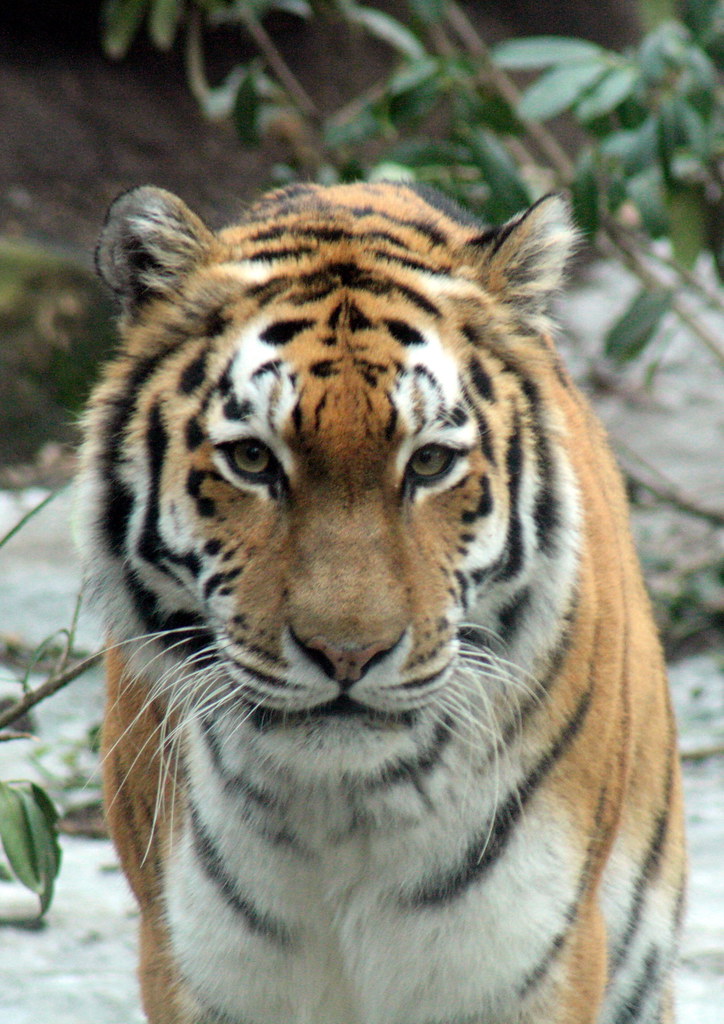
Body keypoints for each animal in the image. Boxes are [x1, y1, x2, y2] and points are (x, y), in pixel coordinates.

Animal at [76, 180, 686, 1024]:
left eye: (428, 463)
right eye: (252, 459)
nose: (347, 654)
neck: (340, 813)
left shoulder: (529, 963)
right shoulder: (195, 966)